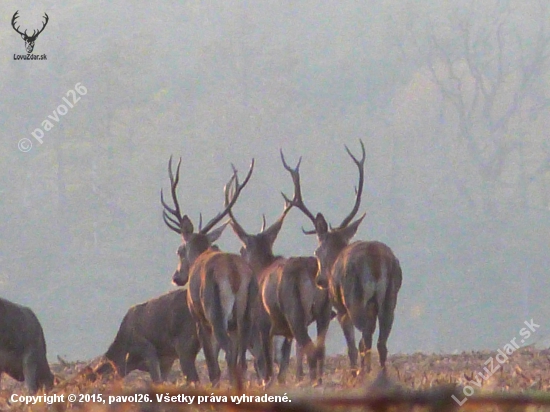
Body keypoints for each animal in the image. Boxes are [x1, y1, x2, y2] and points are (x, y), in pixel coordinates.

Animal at [160, 155, 254, 386]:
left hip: (215, 310)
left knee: (227, 354)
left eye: (179, 250)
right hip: (246, 313)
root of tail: (234, 273)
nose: (176, 277)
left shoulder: (198, 316)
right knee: (241, 360)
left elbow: (212, 364)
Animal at [226, 165, 334, 386]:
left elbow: (266, 365)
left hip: (295, 311)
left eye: (242, 250)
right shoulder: (284, 333)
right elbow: (282, 366)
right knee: (320, 349)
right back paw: (318, 381)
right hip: (324, 311)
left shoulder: (262, 323)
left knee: (310, 349)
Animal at [282, 142, 404, 376]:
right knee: (381, 342)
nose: (320, 280)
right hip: (390, 298)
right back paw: (381, 373)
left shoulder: (339, 308)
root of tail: (376, 263)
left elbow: (351, 346)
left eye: (317, 251)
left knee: (364, 339)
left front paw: (355, 371)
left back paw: (364, 374)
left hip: (354, 297)